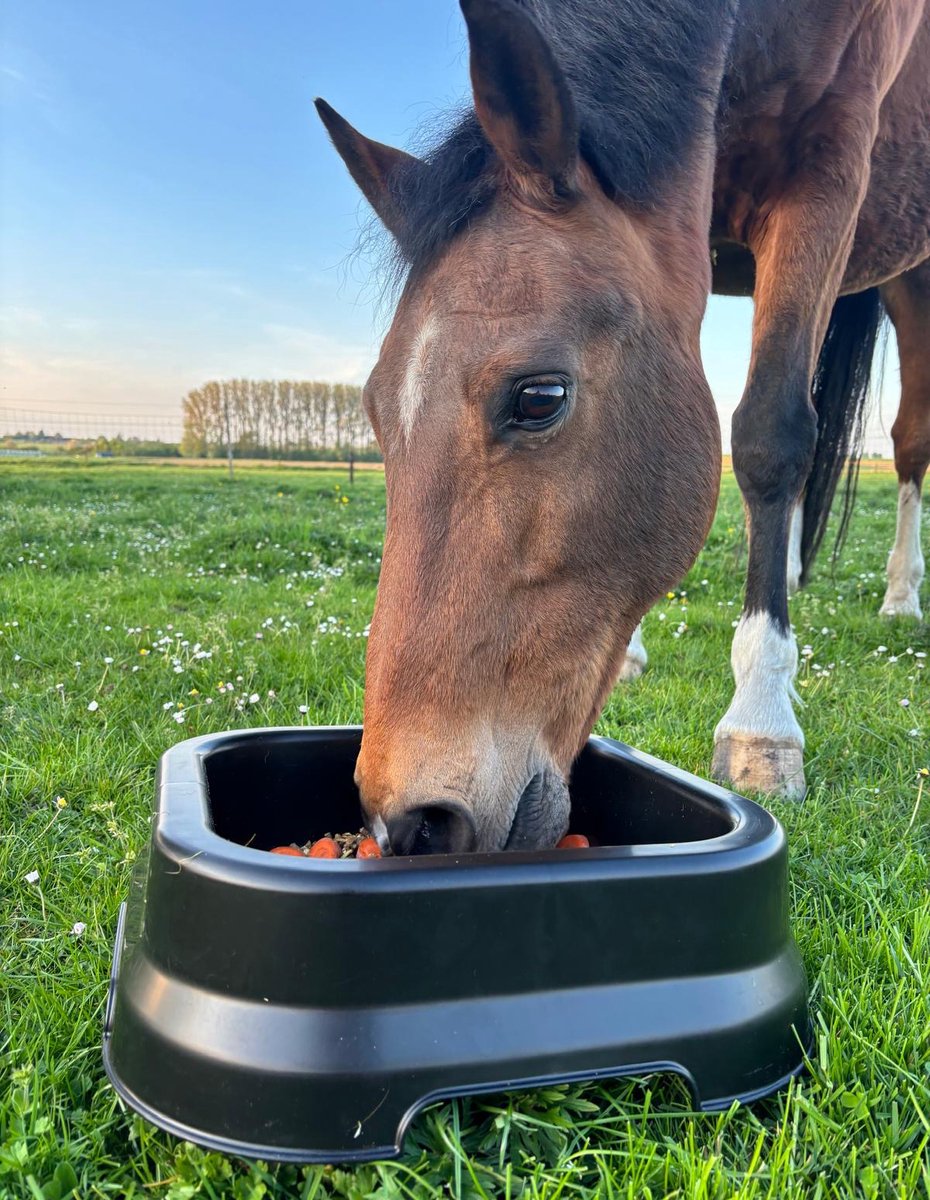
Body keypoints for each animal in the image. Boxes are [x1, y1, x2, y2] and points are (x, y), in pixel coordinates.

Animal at [316, 0, 930, 854]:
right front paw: (640, 652)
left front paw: (762, 724)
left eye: (539, 397)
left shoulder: (827, 171)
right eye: (375, 409)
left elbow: (771, 436)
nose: (409, 822)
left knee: (905, 442)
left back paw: (901, 595)